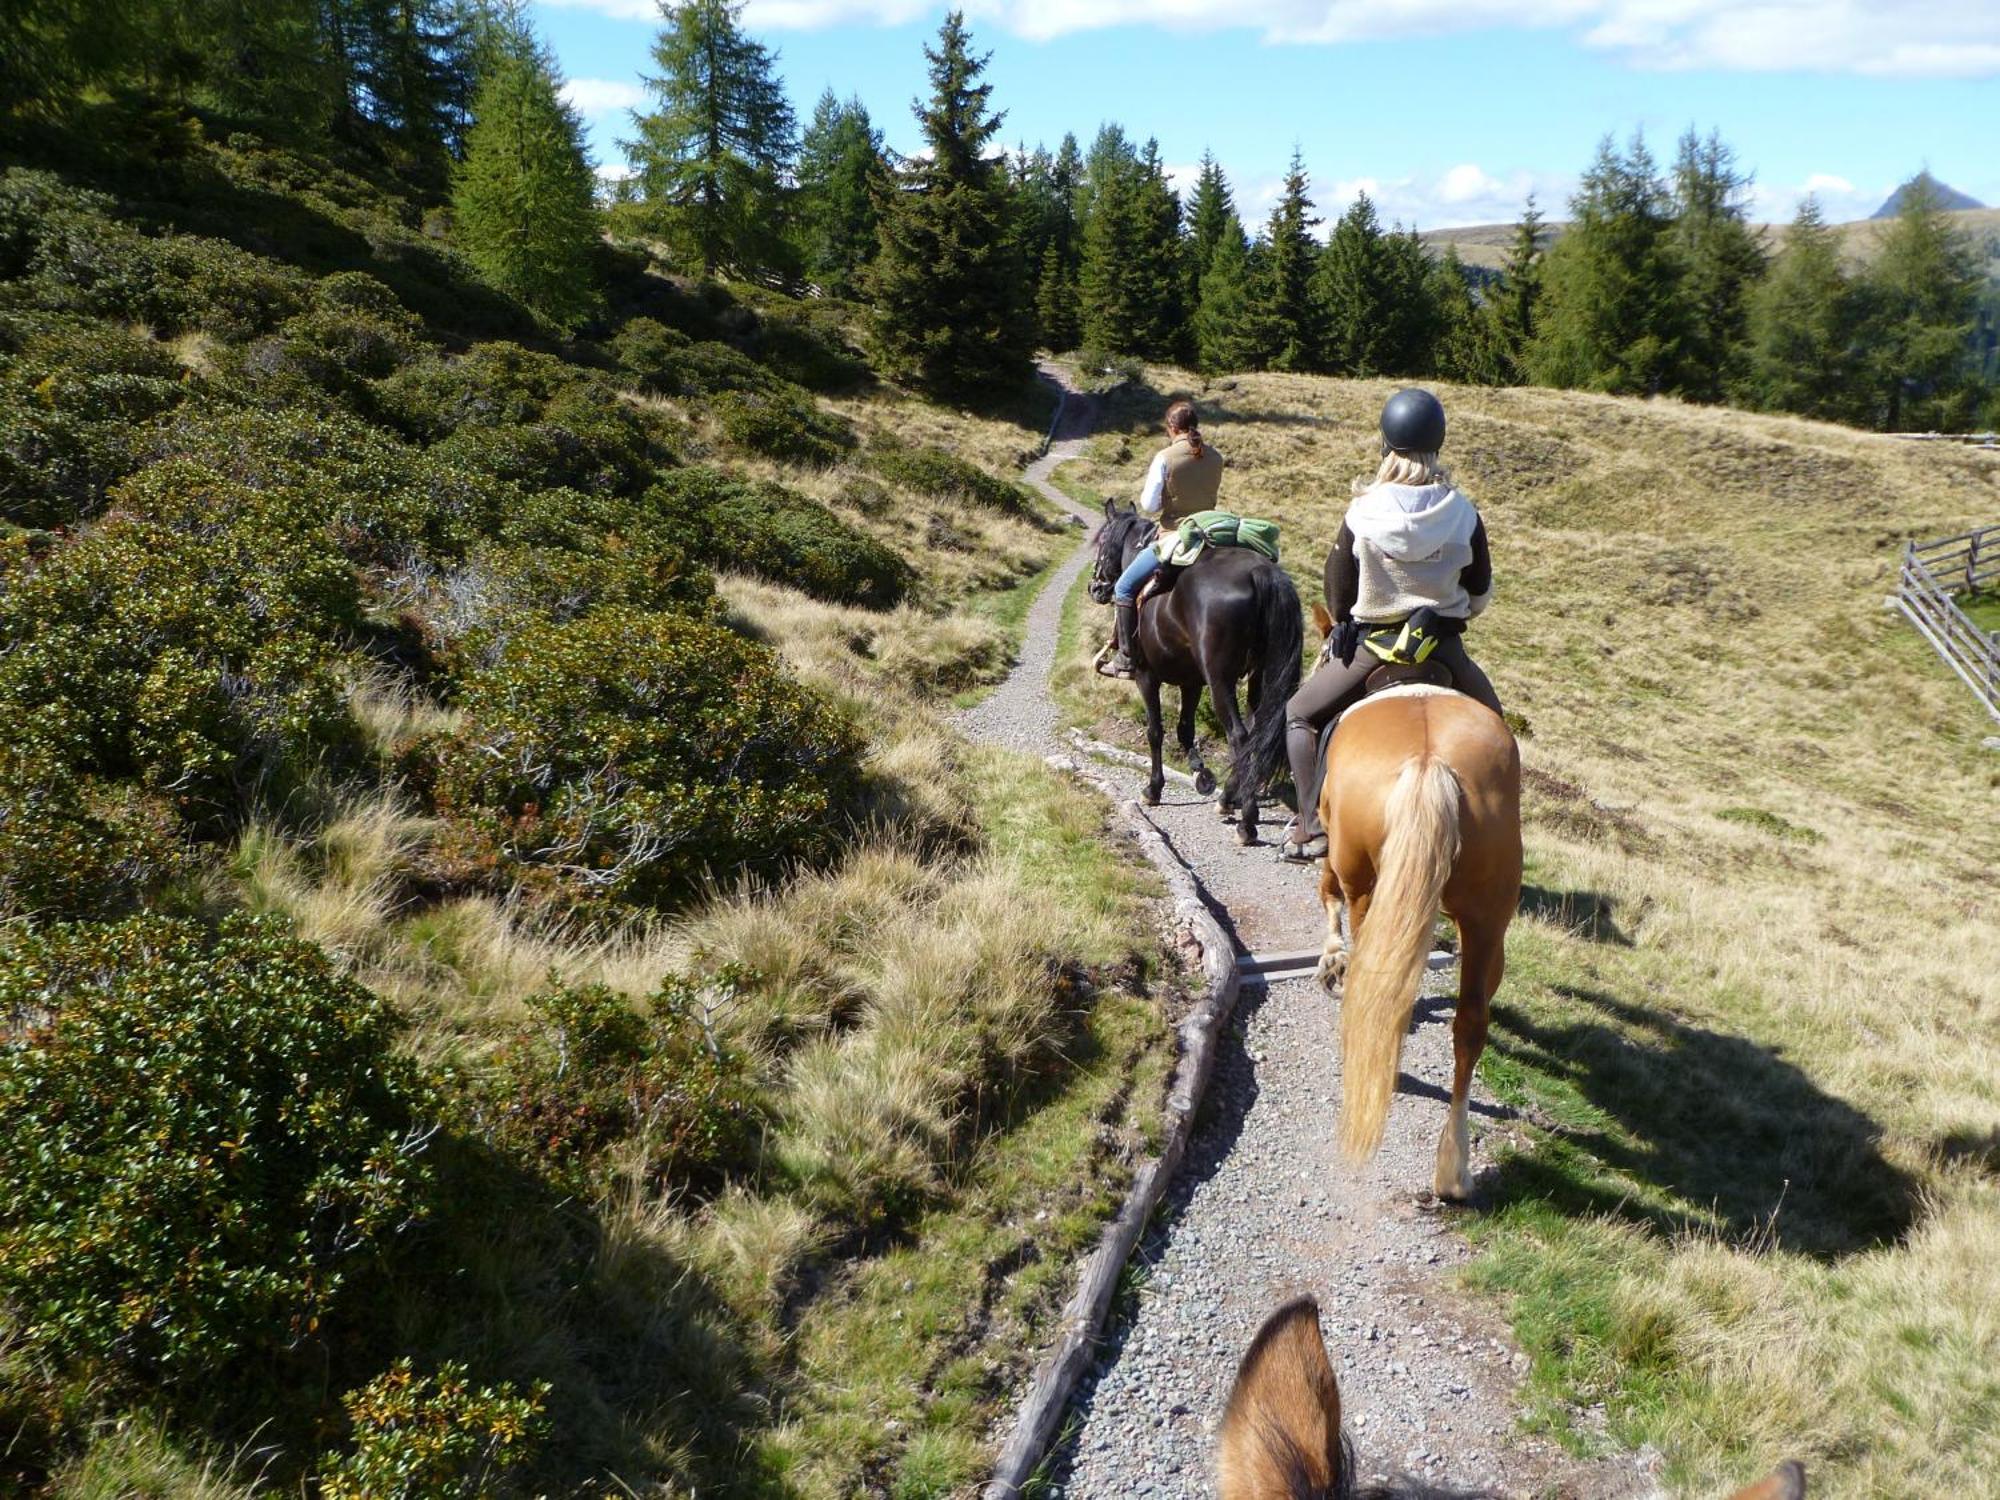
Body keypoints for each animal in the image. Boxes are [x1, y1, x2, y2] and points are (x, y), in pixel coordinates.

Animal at [1088, 508, 1304, 848]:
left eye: (1103, 539)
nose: (1095, 587)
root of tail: (1259, 573)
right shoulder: (1191, 683)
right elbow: (1185, 730)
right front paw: (1201, 775)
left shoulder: (1147, 677)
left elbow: (1155, 731)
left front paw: (1154, 789)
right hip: (1259, 677)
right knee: (1256, 731)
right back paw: (1228, 799)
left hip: (1220, 681)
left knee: (1239, 736)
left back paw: (1247, 823)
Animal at [1304, 604, 1520, 1208]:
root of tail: (1431, 763)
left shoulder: (1334, 844)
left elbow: (1325, 890)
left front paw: (1330, 960)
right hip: (1489, 916)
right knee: (1471, 1022)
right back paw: (1455, 1169)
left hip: (1367, 882)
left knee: (1373, 983)